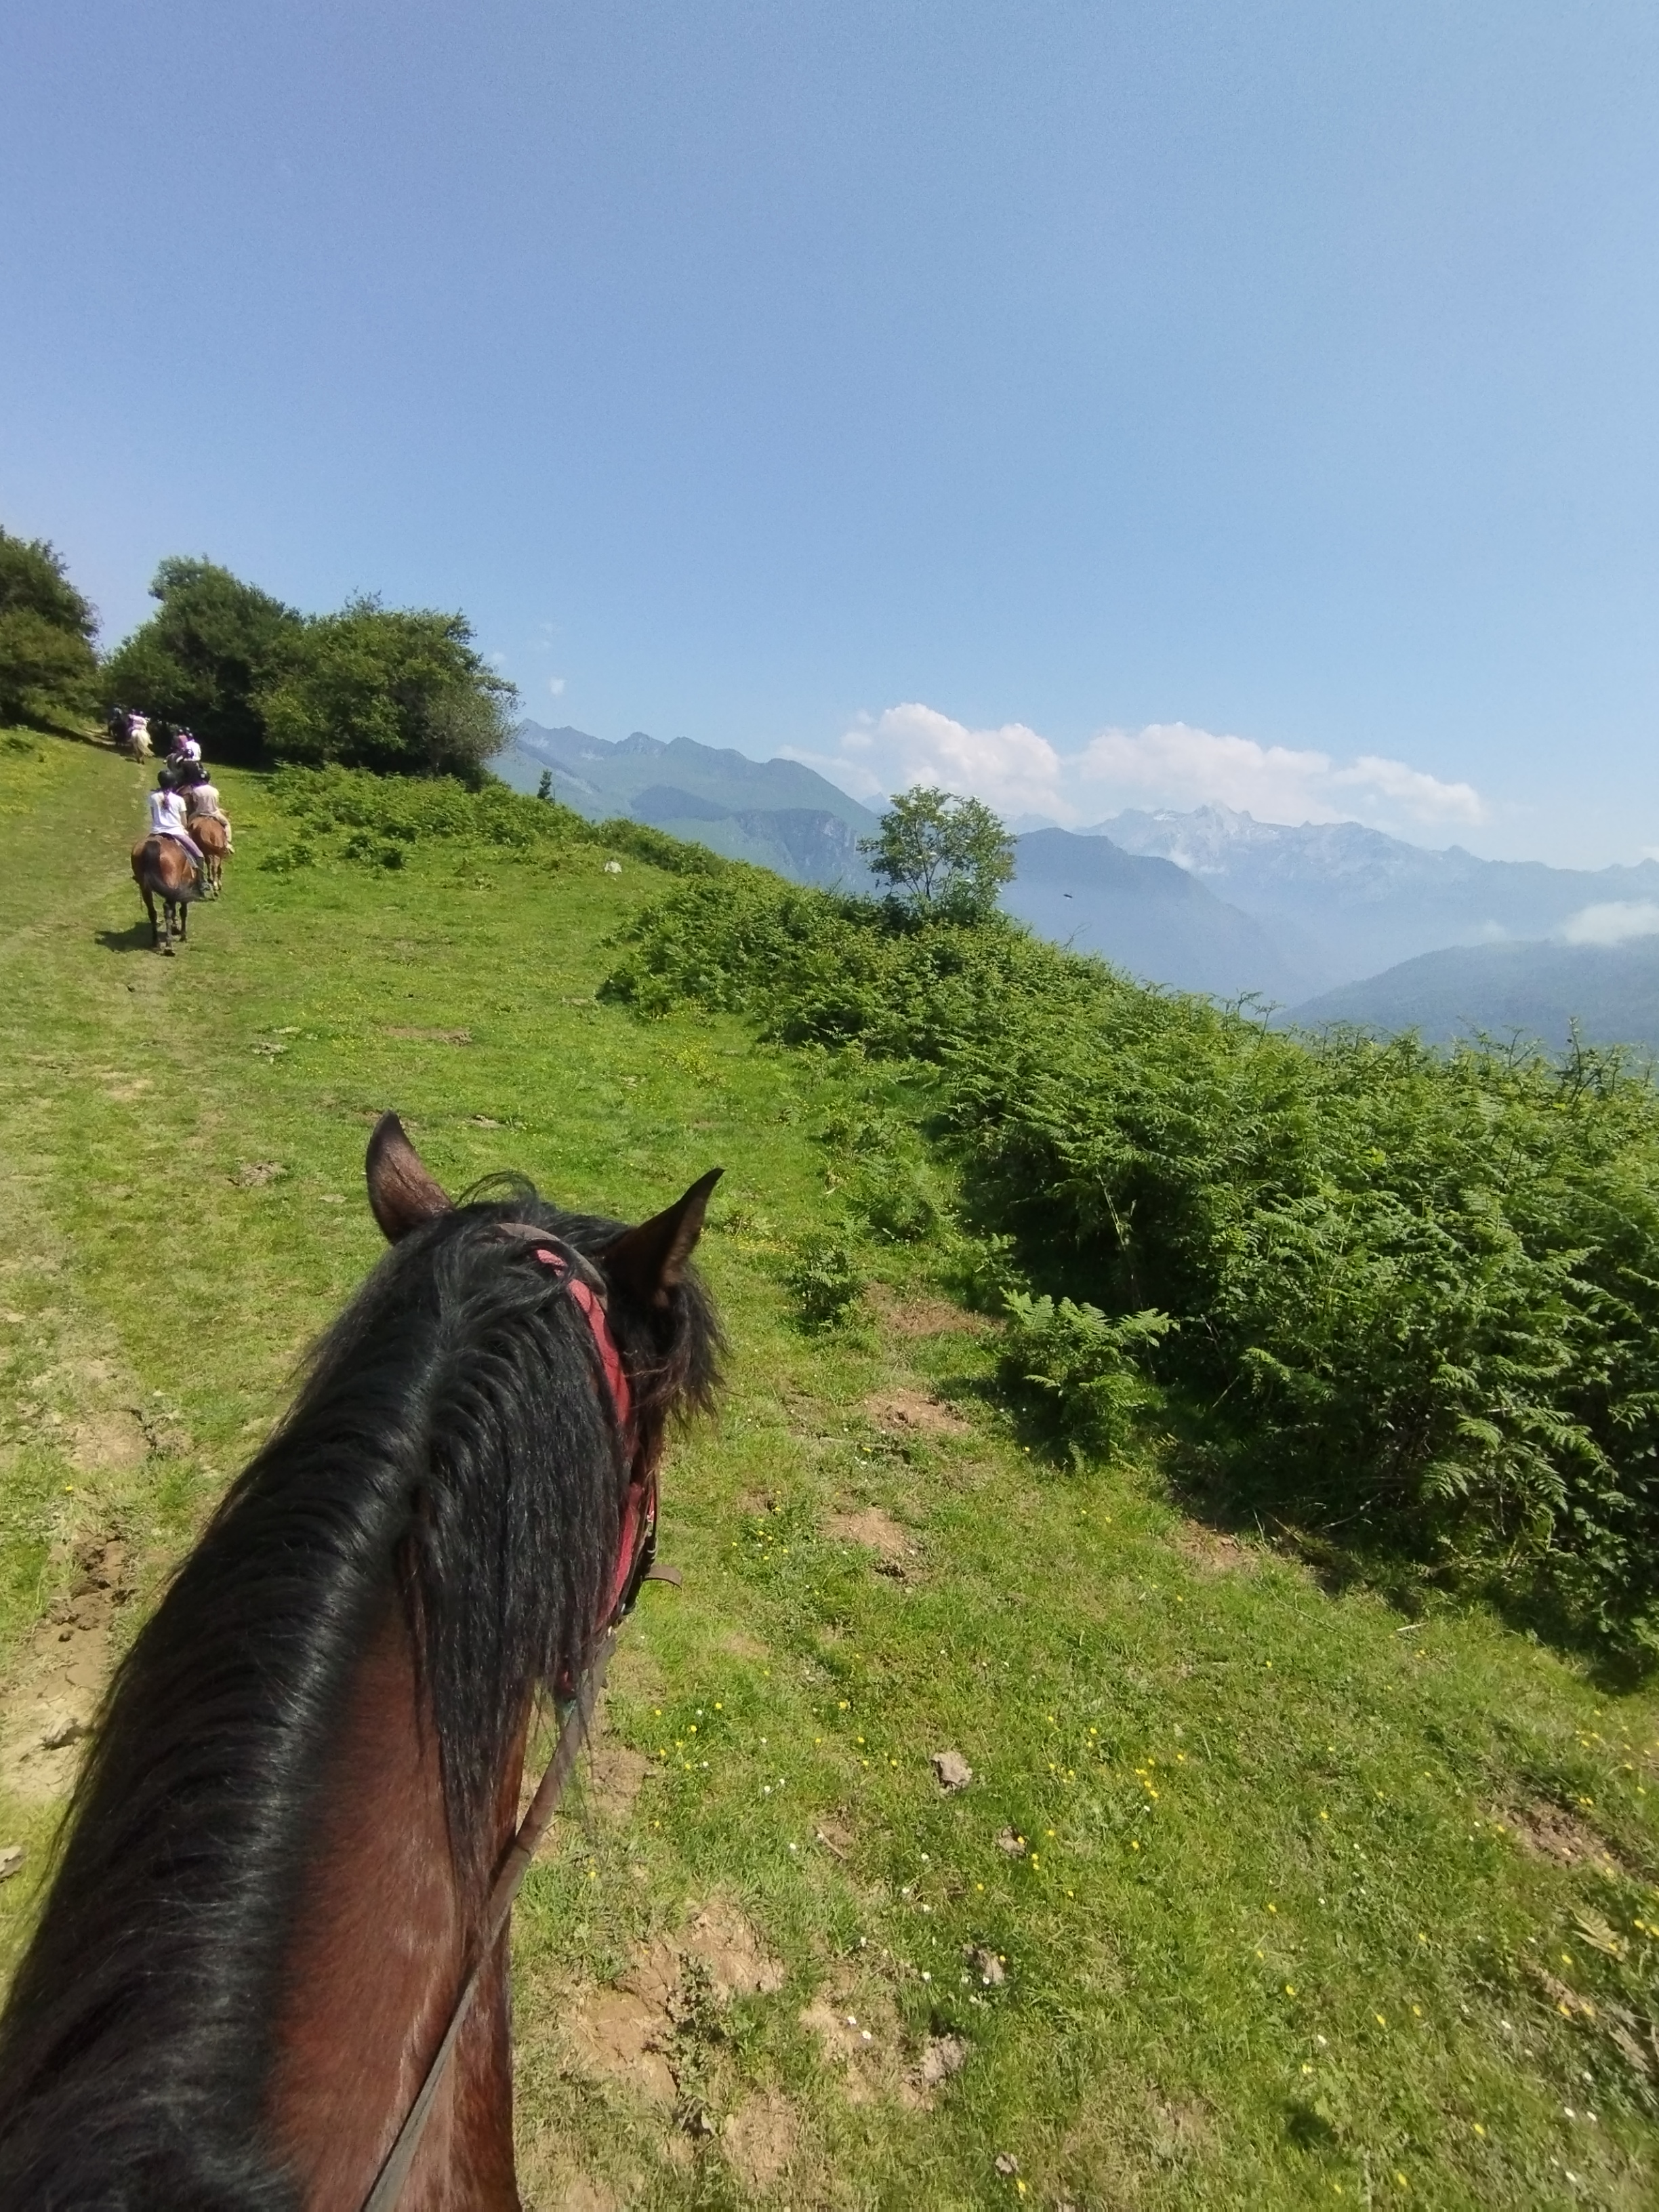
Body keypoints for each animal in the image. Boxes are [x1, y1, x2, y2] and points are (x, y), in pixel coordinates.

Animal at [131, 833, 202, 953]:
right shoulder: (184, 888)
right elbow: (183, 912)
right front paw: (183, 935)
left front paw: (175, 928)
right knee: (168, 908)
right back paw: (169, 947)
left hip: (145, 888)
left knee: (152, 912)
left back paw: (156, 942)